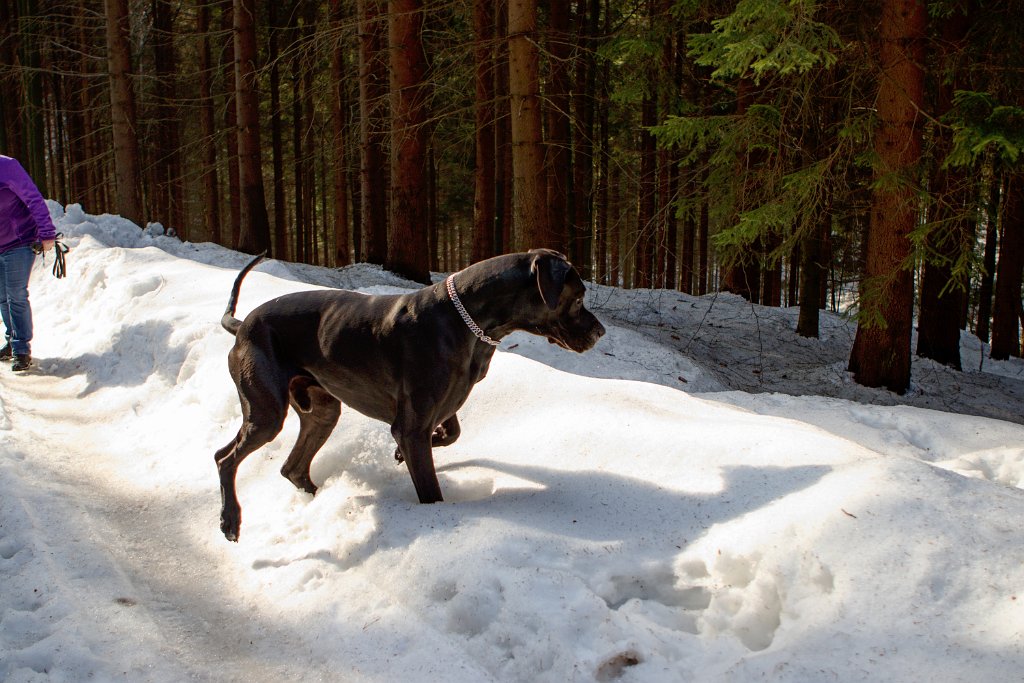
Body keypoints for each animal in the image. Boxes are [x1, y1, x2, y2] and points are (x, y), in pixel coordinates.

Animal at [214, 248, 598, 540]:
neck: (467, 321)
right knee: (224, 458)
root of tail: (242, 325)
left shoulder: (443, 404)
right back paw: (230, 519)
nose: (600, 332)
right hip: (266, 412)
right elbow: (429, 487)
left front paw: (404, 453)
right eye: (578, 298)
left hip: (321, 410)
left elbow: (453, 432)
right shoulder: (412, 426)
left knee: (292, 468)